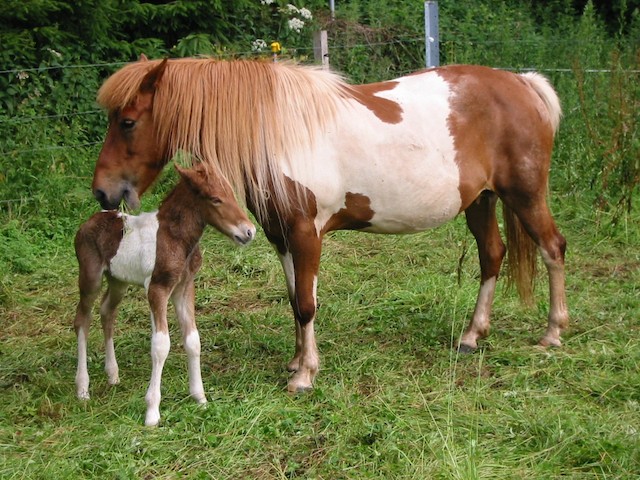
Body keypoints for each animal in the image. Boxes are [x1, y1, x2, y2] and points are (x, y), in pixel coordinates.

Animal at [92, 57, 568, 394]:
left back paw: (552, 333)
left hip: (525, 196)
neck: (279, 133)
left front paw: (304, 376)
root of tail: (524, 83)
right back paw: (472, 335)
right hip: (482, 202)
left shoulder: (306, 234)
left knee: (552, 248)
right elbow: (294, 299)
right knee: (492, 256)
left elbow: (306, 304)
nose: (102, 192)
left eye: (127, 121)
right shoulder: (281, 236)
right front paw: (297, 360)